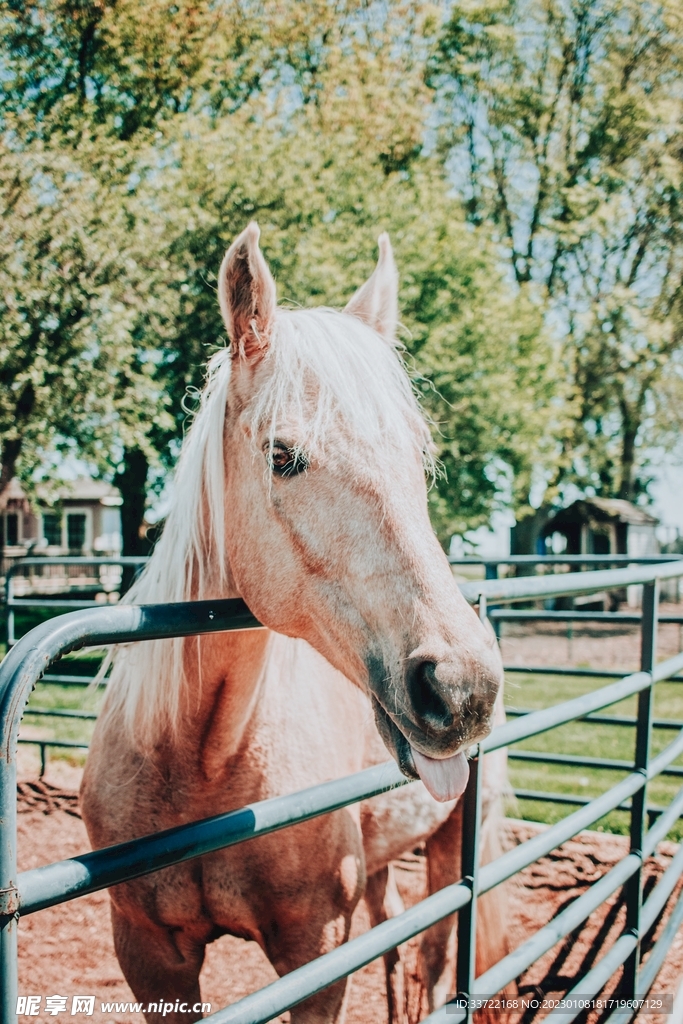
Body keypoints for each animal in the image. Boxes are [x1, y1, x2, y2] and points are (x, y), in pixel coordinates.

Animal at [80, 223, 510, 1024]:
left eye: (418, 458)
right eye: (283, 455)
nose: (463, 688)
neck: (201, 762)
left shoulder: (316, 957)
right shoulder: (150, 958)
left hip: (451, 844)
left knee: (436, 955)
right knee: (395, 936)